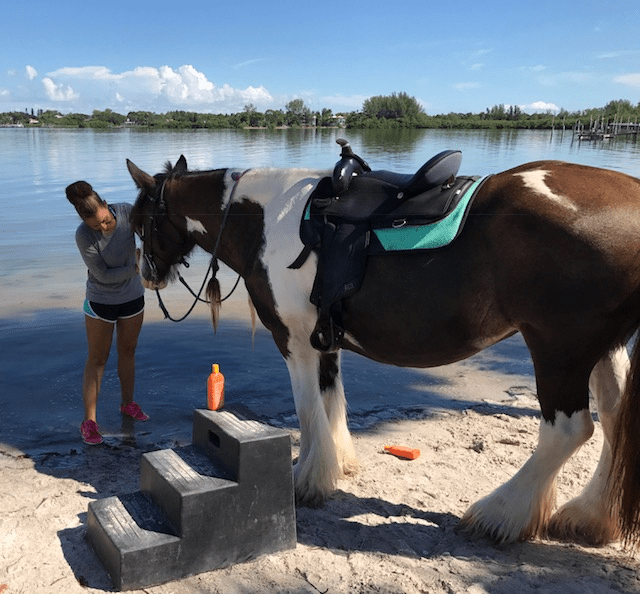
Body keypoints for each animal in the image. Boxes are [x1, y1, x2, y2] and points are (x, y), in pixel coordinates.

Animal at [127, 150, 640, 548]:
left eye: (139, 222)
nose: (149, 276)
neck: (264, 219)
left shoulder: (292, 339)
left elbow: (307, 410)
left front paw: (306, 481)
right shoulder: (323, 340)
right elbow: (330, 403)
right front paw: (336, 465)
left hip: (559, 347)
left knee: (569, 430)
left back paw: (499, 514)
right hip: (602, 346)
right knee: (616, 419)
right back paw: (590, 516)